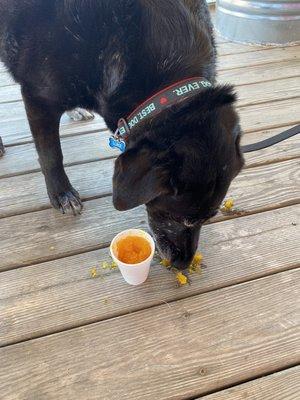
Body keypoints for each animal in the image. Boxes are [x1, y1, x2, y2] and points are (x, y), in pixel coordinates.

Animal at [0, 0, 244, 268]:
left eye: (208, 218)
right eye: (180, 219)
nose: (183, 265)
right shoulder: (38, 97)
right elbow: (50, 154)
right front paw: (61, 193)